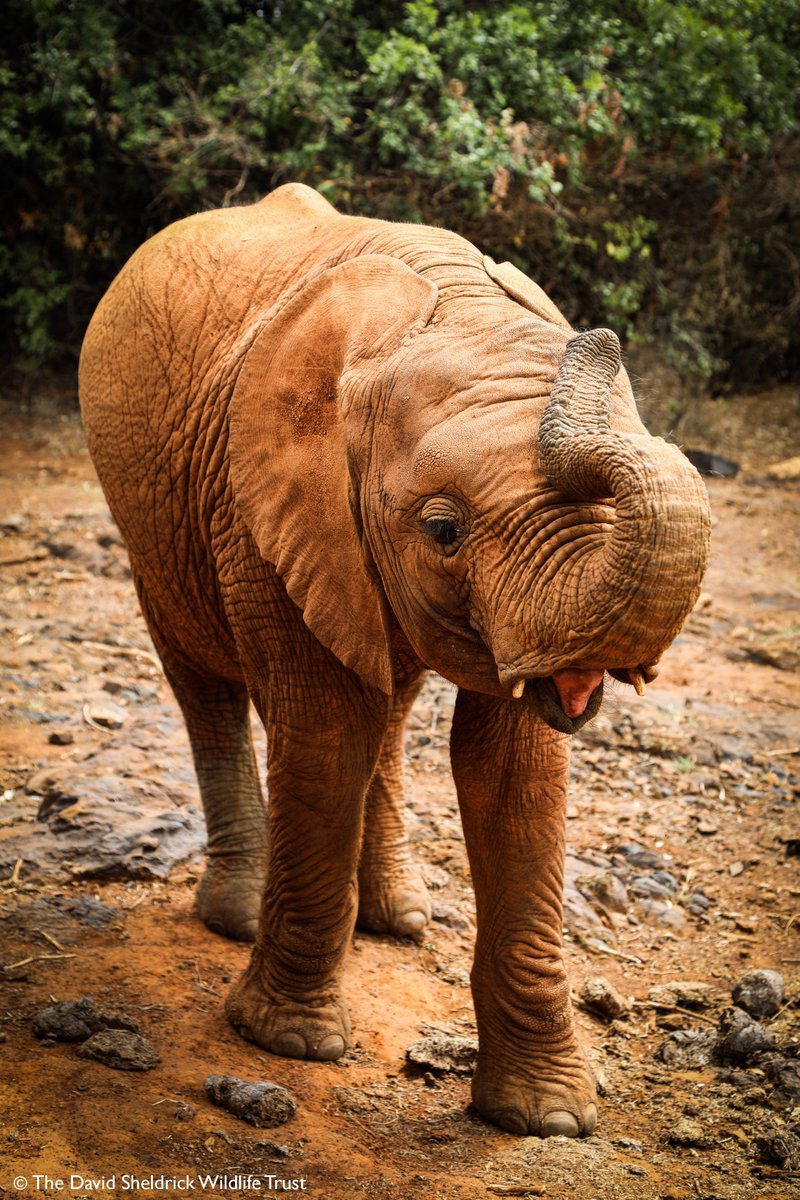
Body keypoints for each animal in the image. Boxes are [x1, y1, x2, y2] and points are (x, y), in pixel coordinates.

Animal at [79, 182, 710, 1139]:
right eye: (443, 529)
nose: (599, 342)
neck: (455, 310)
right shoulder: (267, 507)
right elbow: (326, 731)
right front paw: (287, 1045)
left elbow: (515, 769)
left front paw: (546, 1120)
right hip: (154, 518)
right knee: (208, 680)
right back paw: (238, 916)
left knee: (392, 701)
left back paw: (399, 919)